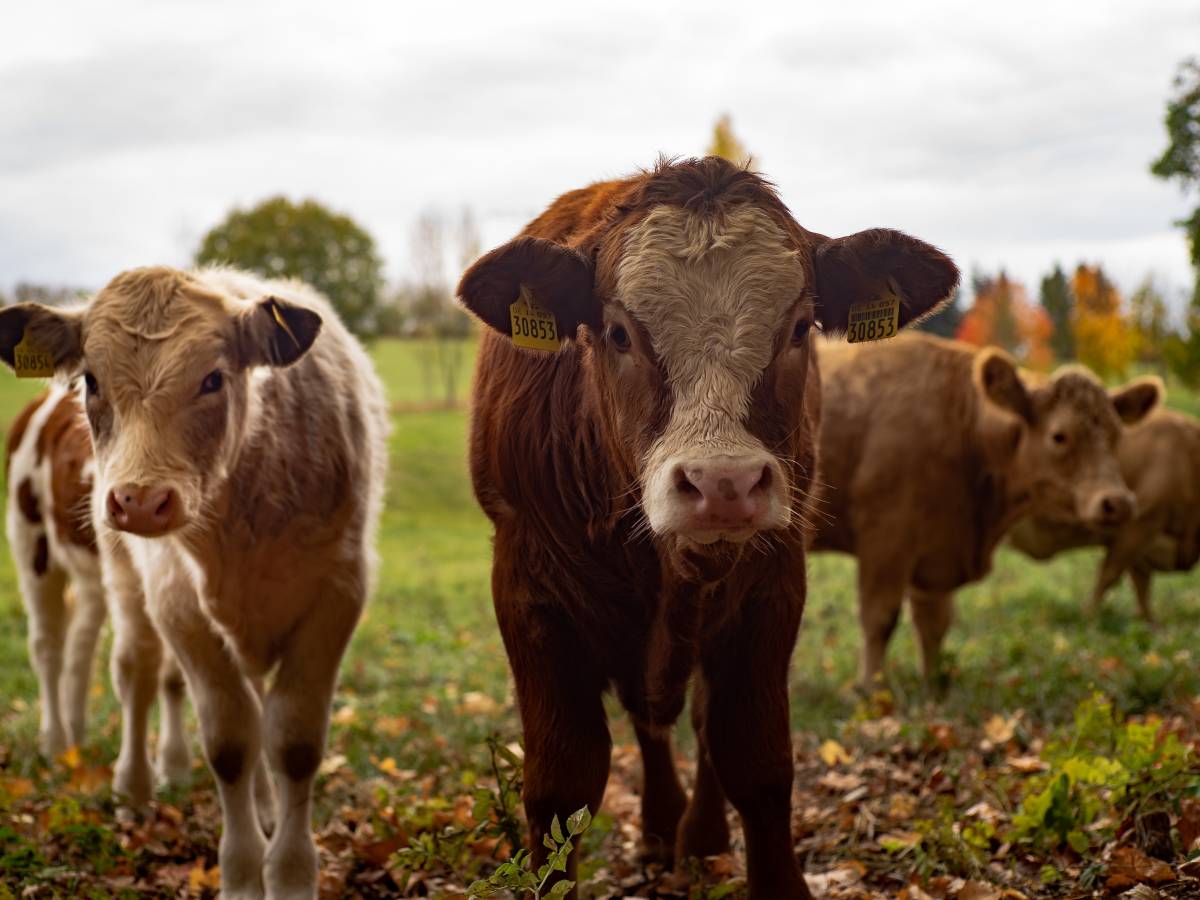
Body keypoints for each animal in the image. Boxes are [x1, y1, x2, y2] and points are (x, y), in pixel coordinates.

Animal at [0, 267, 386, 900]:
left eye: (212, 379)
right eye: (92, 380)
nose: (138, 500)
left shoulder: (338, 593)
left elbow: (293, 742)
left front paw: (290, 871)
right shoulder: (177, 601)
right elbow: (230, 741)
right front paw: (243, 876)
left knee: (93, 651)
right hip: (47, 549)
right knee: (87, 657)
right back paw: (93, 764)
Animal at [456, 158, 955, 897]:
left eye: (800, 327)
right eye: (618, 333)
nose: (724, 484)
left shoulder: (773, 585)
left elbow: (756, 759)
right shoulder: (527, 590)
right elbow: (561, 782)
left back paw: (698, 836)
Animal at [811, 336, 1156, 686]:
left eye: (1117, 436)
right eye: (1059, 436)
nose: (1118, 501)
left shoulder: (937, 556)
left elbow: (934, 626)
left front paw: (933, 686)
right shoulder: (885, 542)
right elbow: (880, 619)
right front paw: (871, 689)